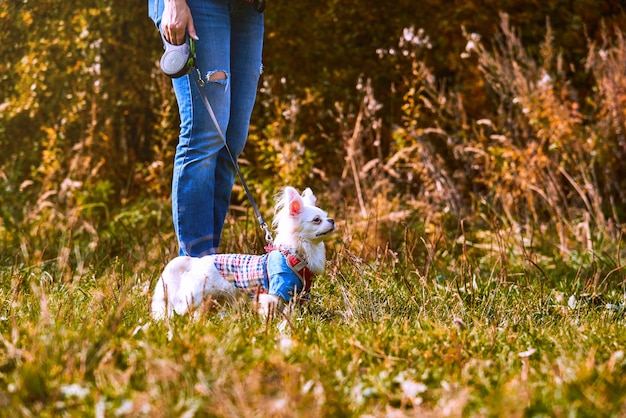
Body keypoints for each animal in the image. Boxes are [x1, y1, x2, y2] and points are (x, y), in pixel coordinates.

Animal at [151, 187, 334, 320]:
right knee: (179, 306)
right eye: (317, 220)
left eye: (326, 216)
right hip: (194, 296)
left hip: (211, 300)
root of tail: (195, 261)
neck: (293, 254)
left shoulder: (300, 293)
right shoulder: (275, 291)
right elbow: (272, 311)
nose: (332, 220)